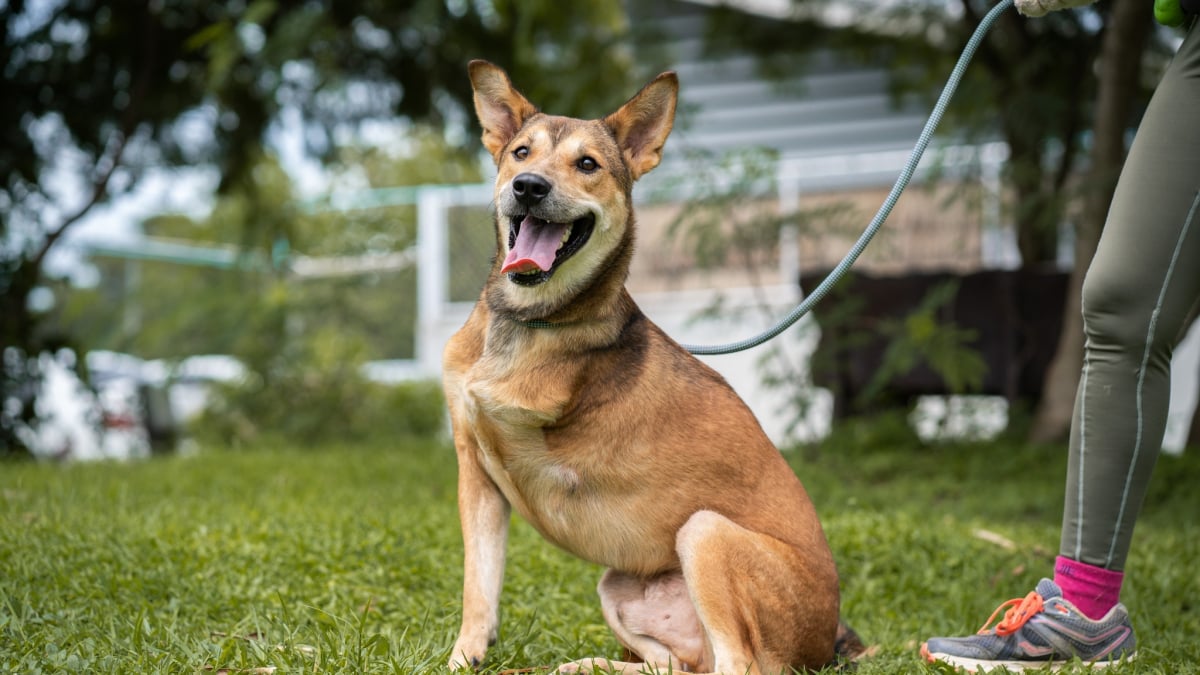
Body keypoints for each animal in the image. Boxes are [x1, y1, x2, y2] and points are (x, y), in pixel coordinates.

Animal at [444, 60, 854, 667]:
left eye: (587, 164)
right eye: (520, 152)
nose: (529, 186)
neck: (528, 321)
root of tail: (827, 643)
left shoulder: (525, 445)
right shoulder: (476, 468)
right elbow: (479, 588)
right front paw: (463, 659)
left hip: (704, 534)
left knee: (737, 666)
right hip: (618, 585)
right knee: (678, 667)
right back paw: (584, 668)